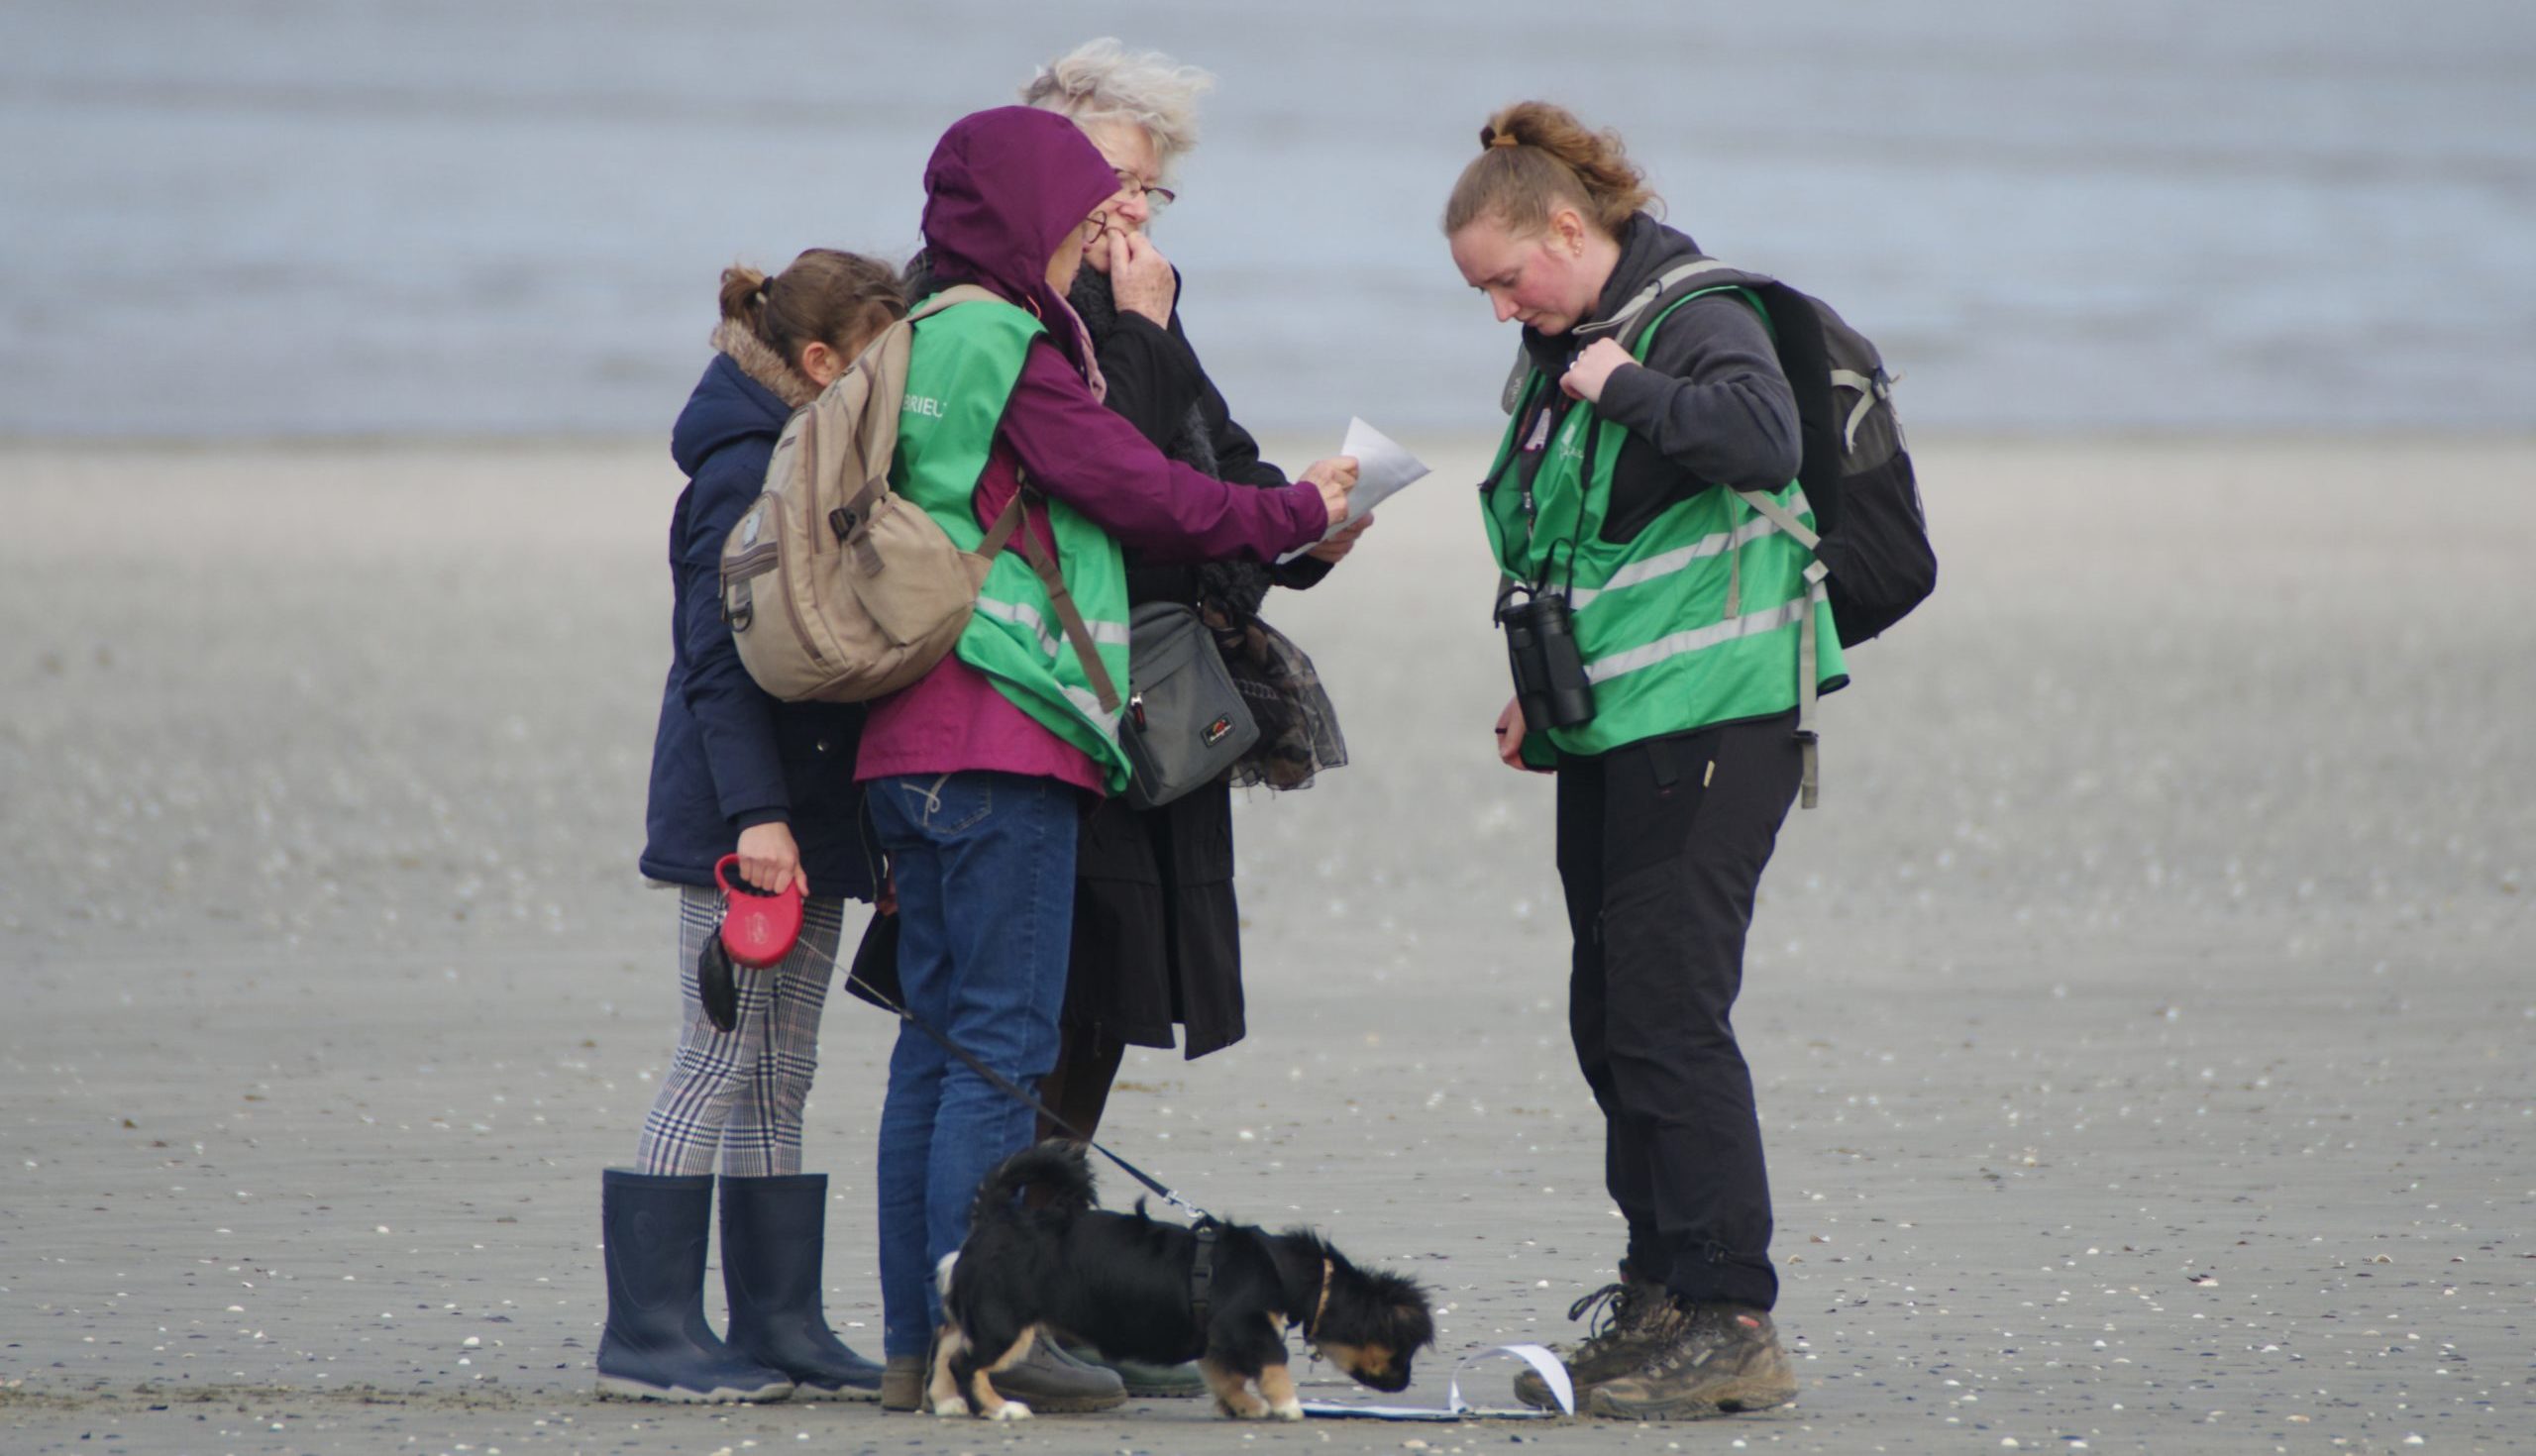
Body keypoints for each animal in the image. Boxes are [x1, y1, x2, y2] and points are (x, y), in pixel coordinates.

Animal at [938, 1146, 1450, 1420]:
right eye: (1402, 1350)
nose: (1405, 1385)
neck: (1285, 1269)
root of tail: (993, 1221)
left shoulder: (1220, 1340)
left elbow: (1225, 1376)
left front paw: (1244, 1407)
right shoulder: (1247, 1327)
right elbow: (1275, 1363)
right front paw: (1287, 1406)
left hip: (973, 1319)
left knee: (944, 1350)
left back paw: (946, 1404)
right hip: (1005, 1325)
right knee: (967, 1363)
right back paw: (999, 1408)